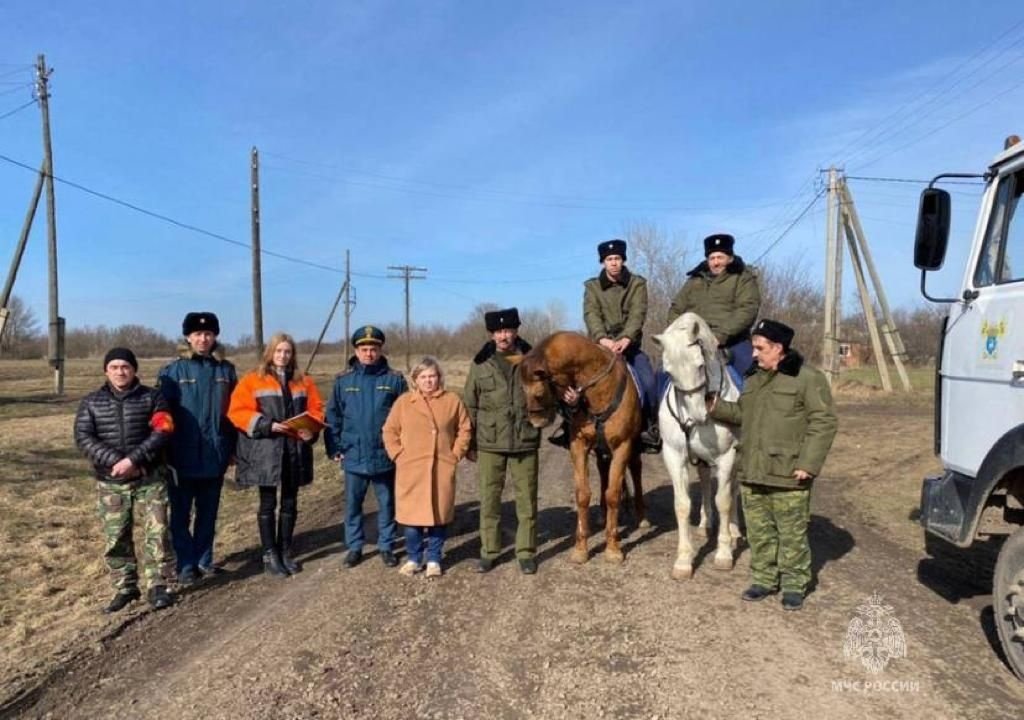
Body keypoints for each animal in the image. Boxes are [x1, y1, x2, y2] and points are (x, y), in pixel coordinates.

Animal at [520, 331, 647, 565]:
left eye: (539, 393)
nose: (535, 422)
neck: (600, 390)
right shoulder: (579, 446)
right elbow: (583, 494)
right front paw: (580, 549)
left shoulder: (623, 446)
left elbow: (613, 494)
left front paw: (613, 549)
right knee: (604, 472)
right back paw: (603, 516)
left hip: (632, 448)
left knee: (636, 470)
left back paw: (641, 517)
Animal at [651, 311, 741, 581]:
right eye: (669, 372)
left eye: (700, 365)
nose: (698, 416)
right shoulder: (674, 456)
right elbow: (682, 505)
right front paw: (683, 561)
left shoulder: (727, 456)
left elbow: (724, 500)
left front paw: (724, 554)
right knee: (705, 481)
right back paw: (706, 524)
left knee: (734, 490)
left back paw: (734, 531)